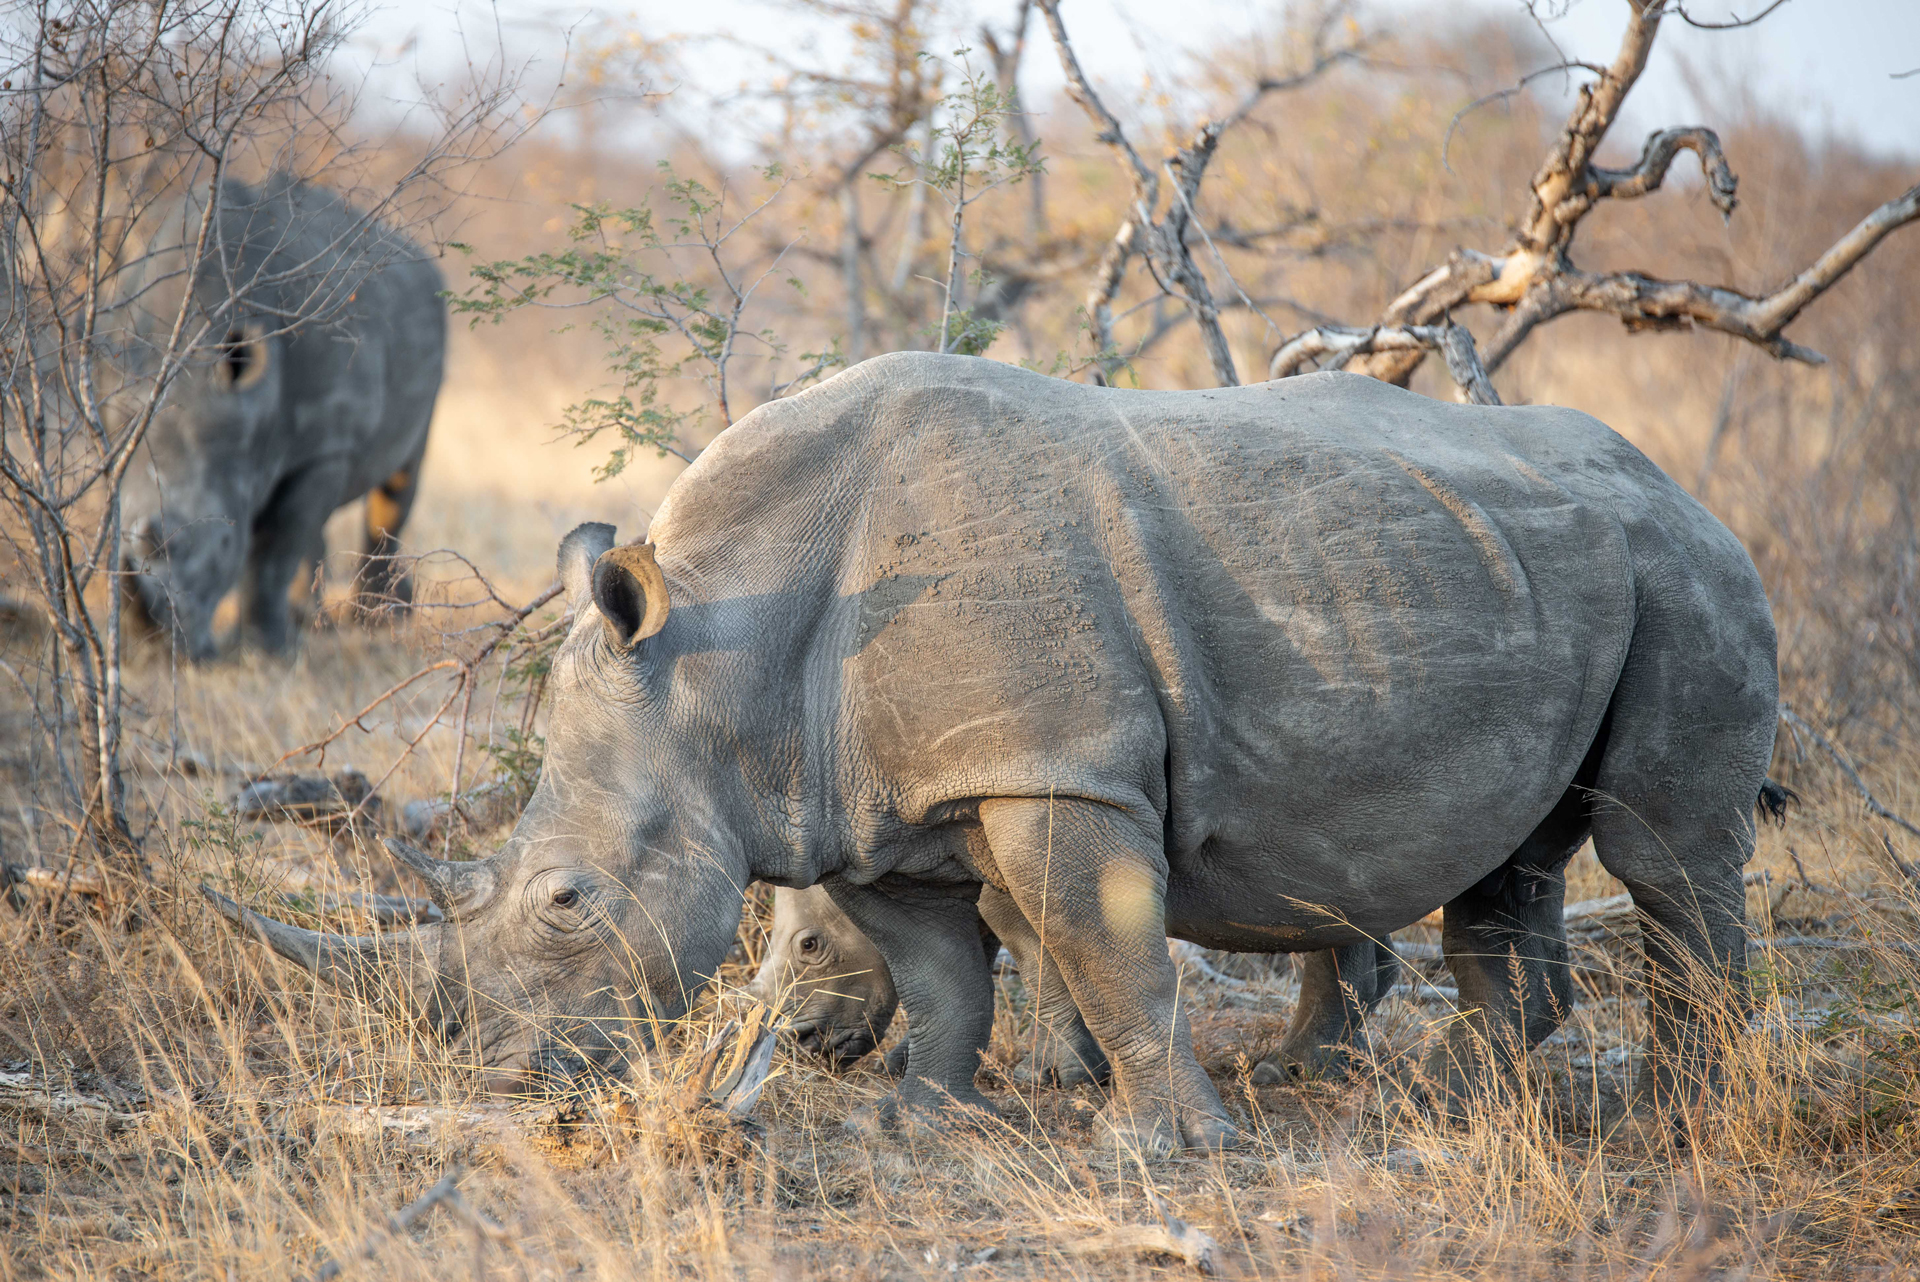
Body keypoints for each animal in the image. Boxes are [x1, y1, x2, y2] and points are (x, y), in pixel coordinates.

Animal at [120, 173, 445, 656]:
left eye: (223, 544)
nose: (155, 649)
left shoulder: (323, 450)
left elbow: (273, 549)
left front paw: (264, 651)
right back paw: (313, 623)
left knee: (398, 483)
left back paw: (375, 621)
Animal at [202, 351, 1774, 1151]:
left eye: (565, 903)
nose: (511, 1084)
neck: (716, 655)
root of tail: (1684, 485)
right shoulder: (865, 797)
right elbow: (948, 968)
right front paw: (919, 1119)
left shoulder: (1054, 765)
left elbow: (1112, 950)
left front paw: (1162, 1152)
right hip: (1535, 567)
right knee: (1515, 855)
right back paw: (1466, 1102)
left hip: (1689, 567)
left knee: (1665, 853)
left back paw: (1679, 1115)